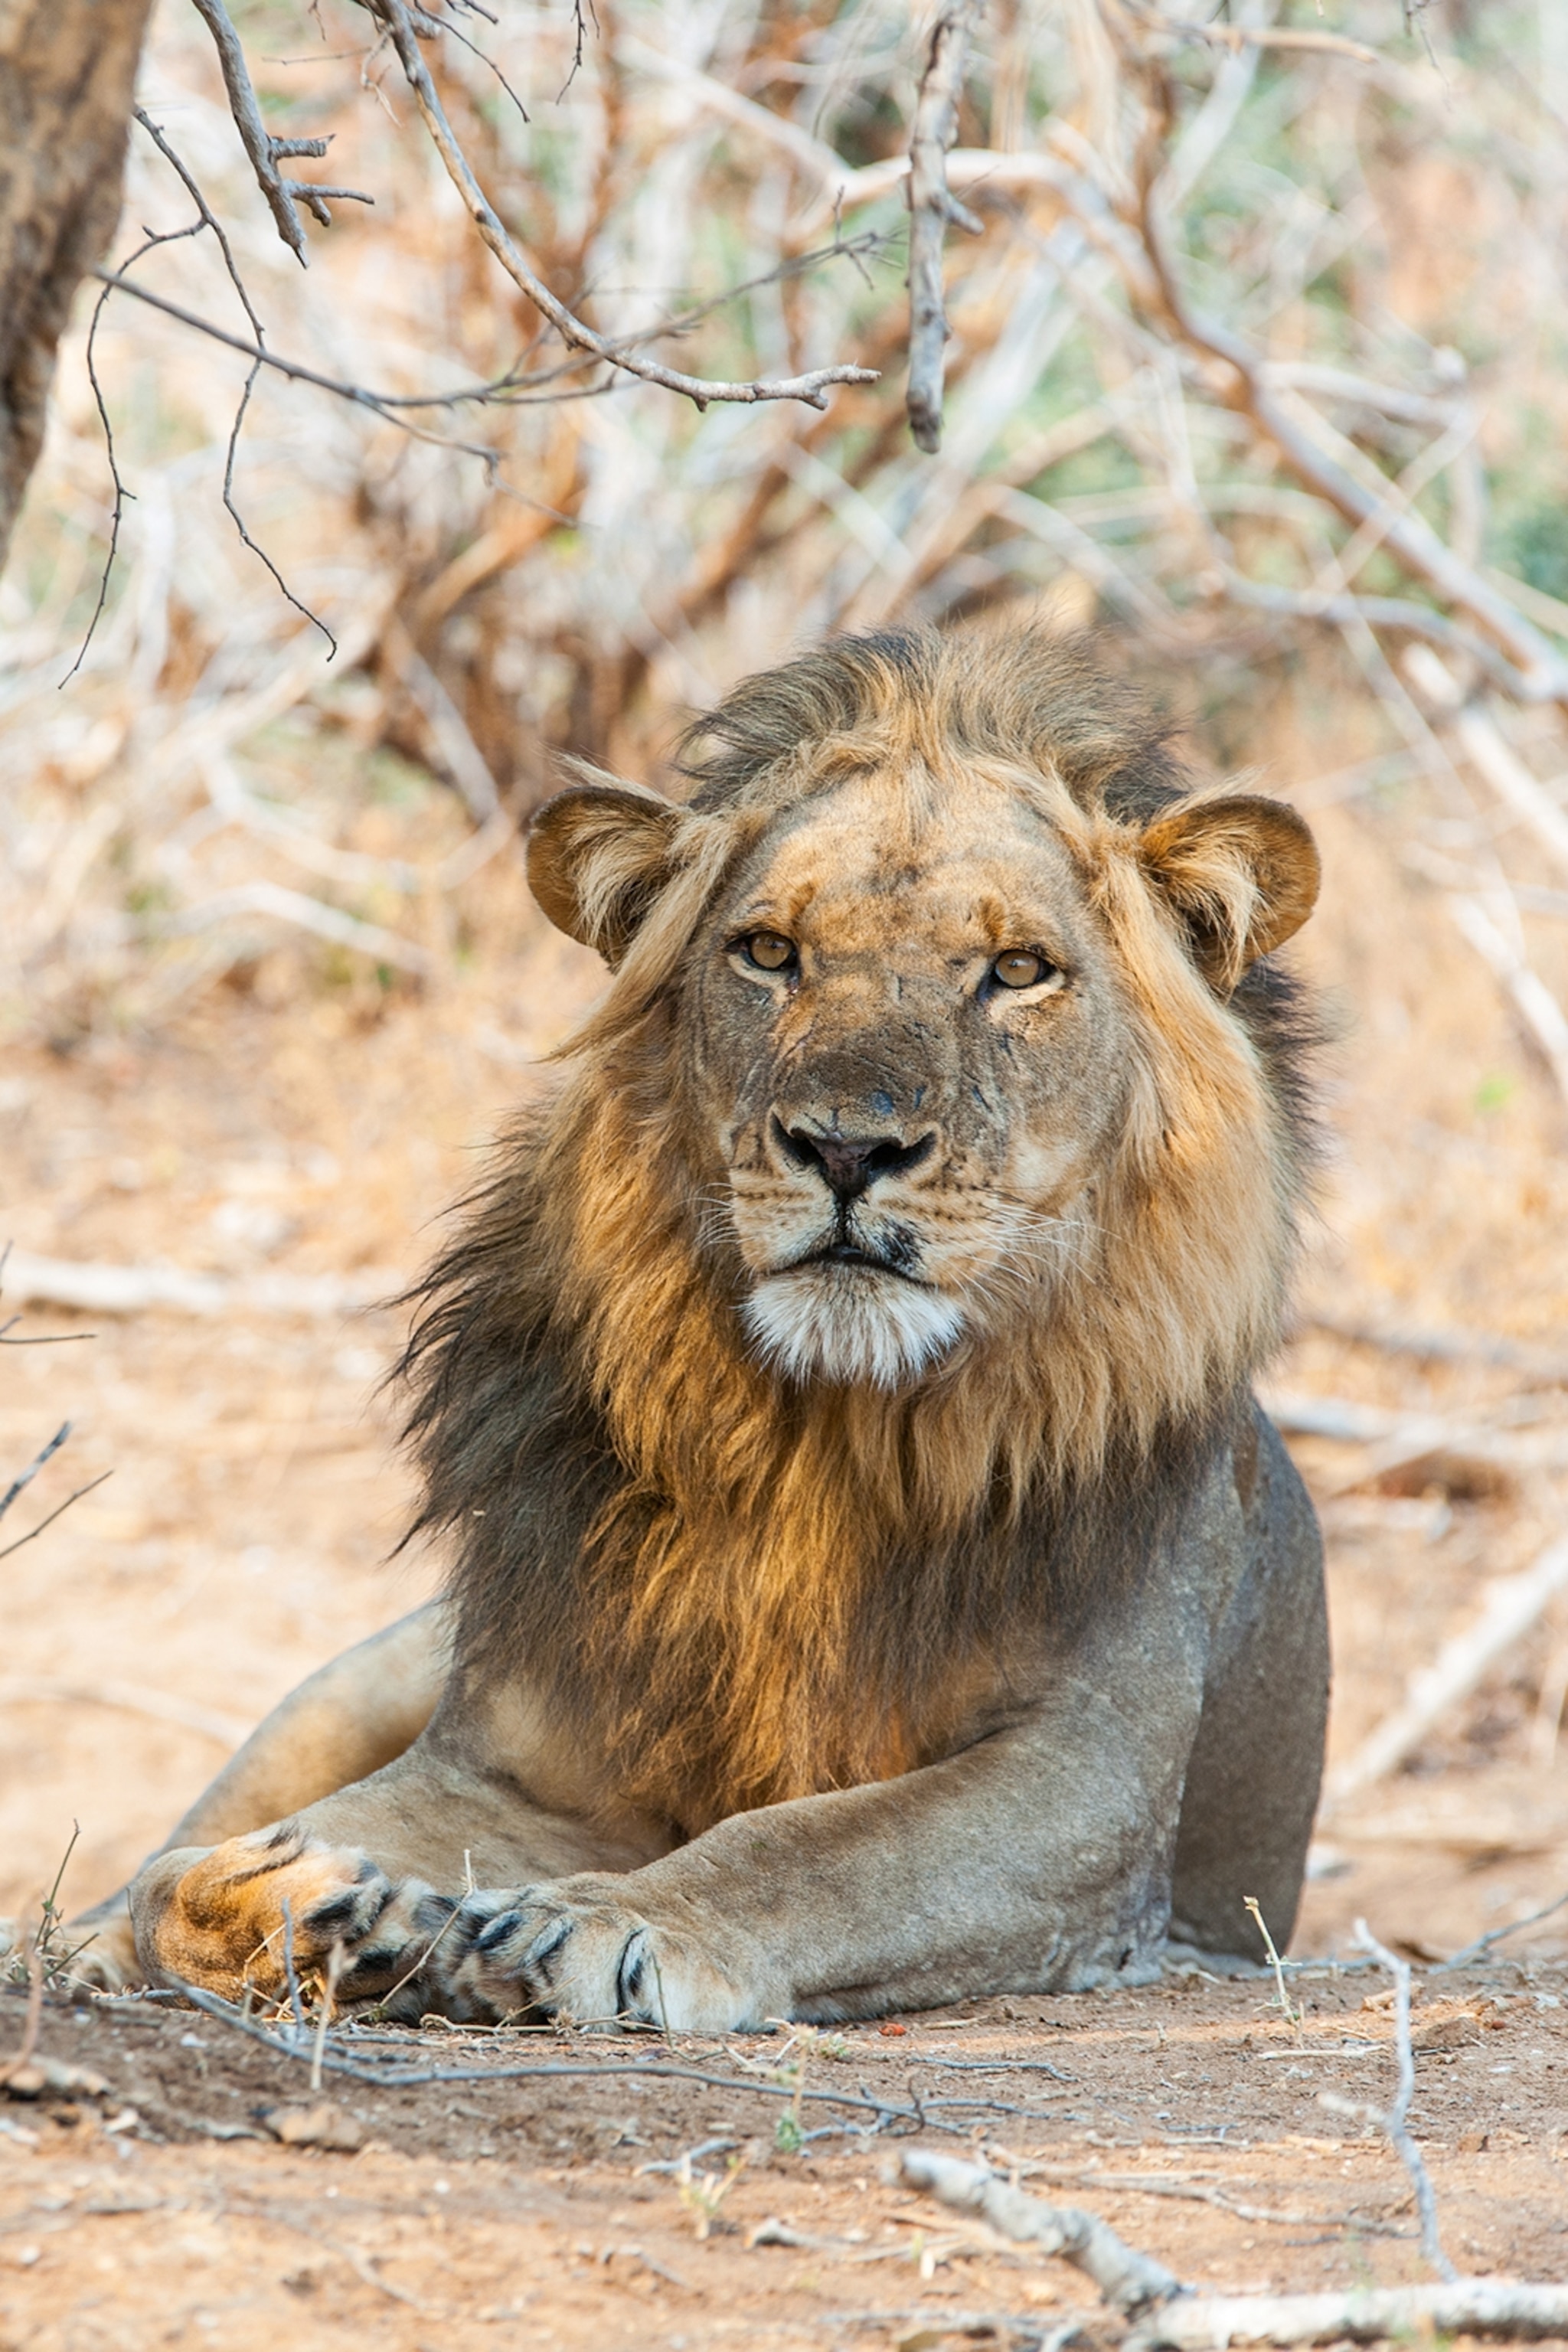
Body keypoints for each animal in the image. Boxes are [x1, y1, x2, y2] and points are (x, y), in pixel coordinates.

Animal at [67, 621, 1328, 2030]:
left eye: (1015, 973)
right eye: (769, 953)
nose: (846, 1147)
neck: (819, 1435)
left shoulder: (1088, 1780)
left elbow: (813, 1845)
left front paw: (607, 1925)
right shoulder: (516, 1764)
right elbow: (180, 1874)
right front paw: (317, 1904)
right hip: (356, 1680)